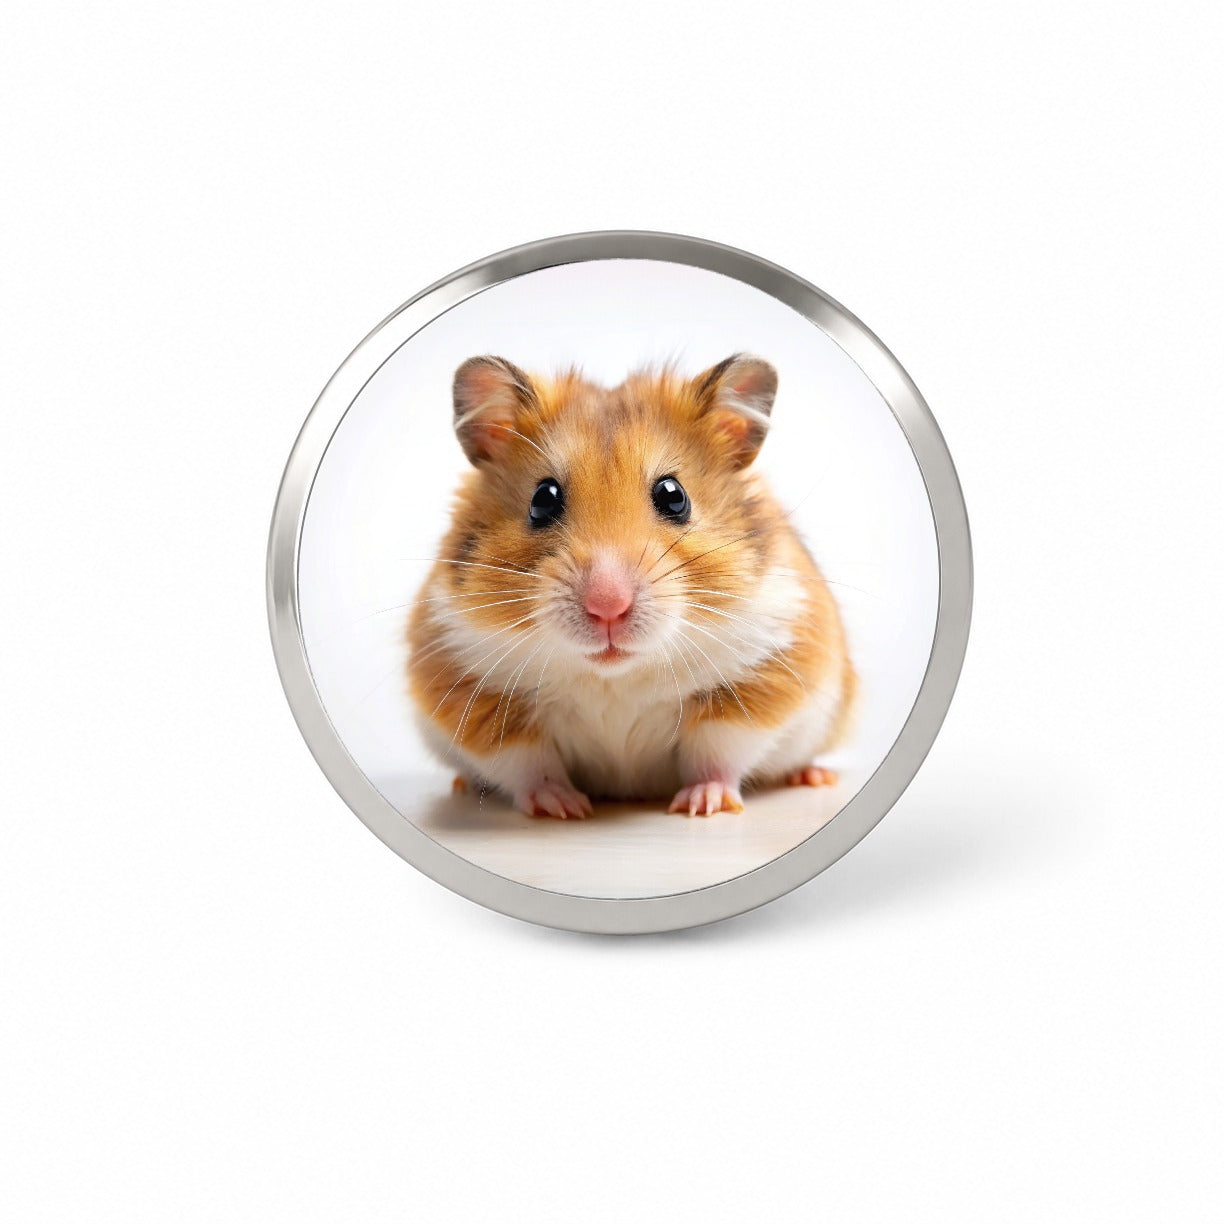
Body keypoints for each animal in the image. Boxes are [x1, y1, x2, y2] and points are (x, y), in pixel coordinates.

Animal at [405, 353, 856, 818]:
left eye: (674, 496)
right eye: (542, 499)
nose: (608, 607)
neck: (615, 674)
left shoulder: (762, 674)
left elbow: (716, 750)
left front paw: (701, 805)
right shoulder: (469, 685)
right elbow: (528, 762)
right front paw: (563, 808)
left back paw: (814, 777)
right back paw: (463, 785)